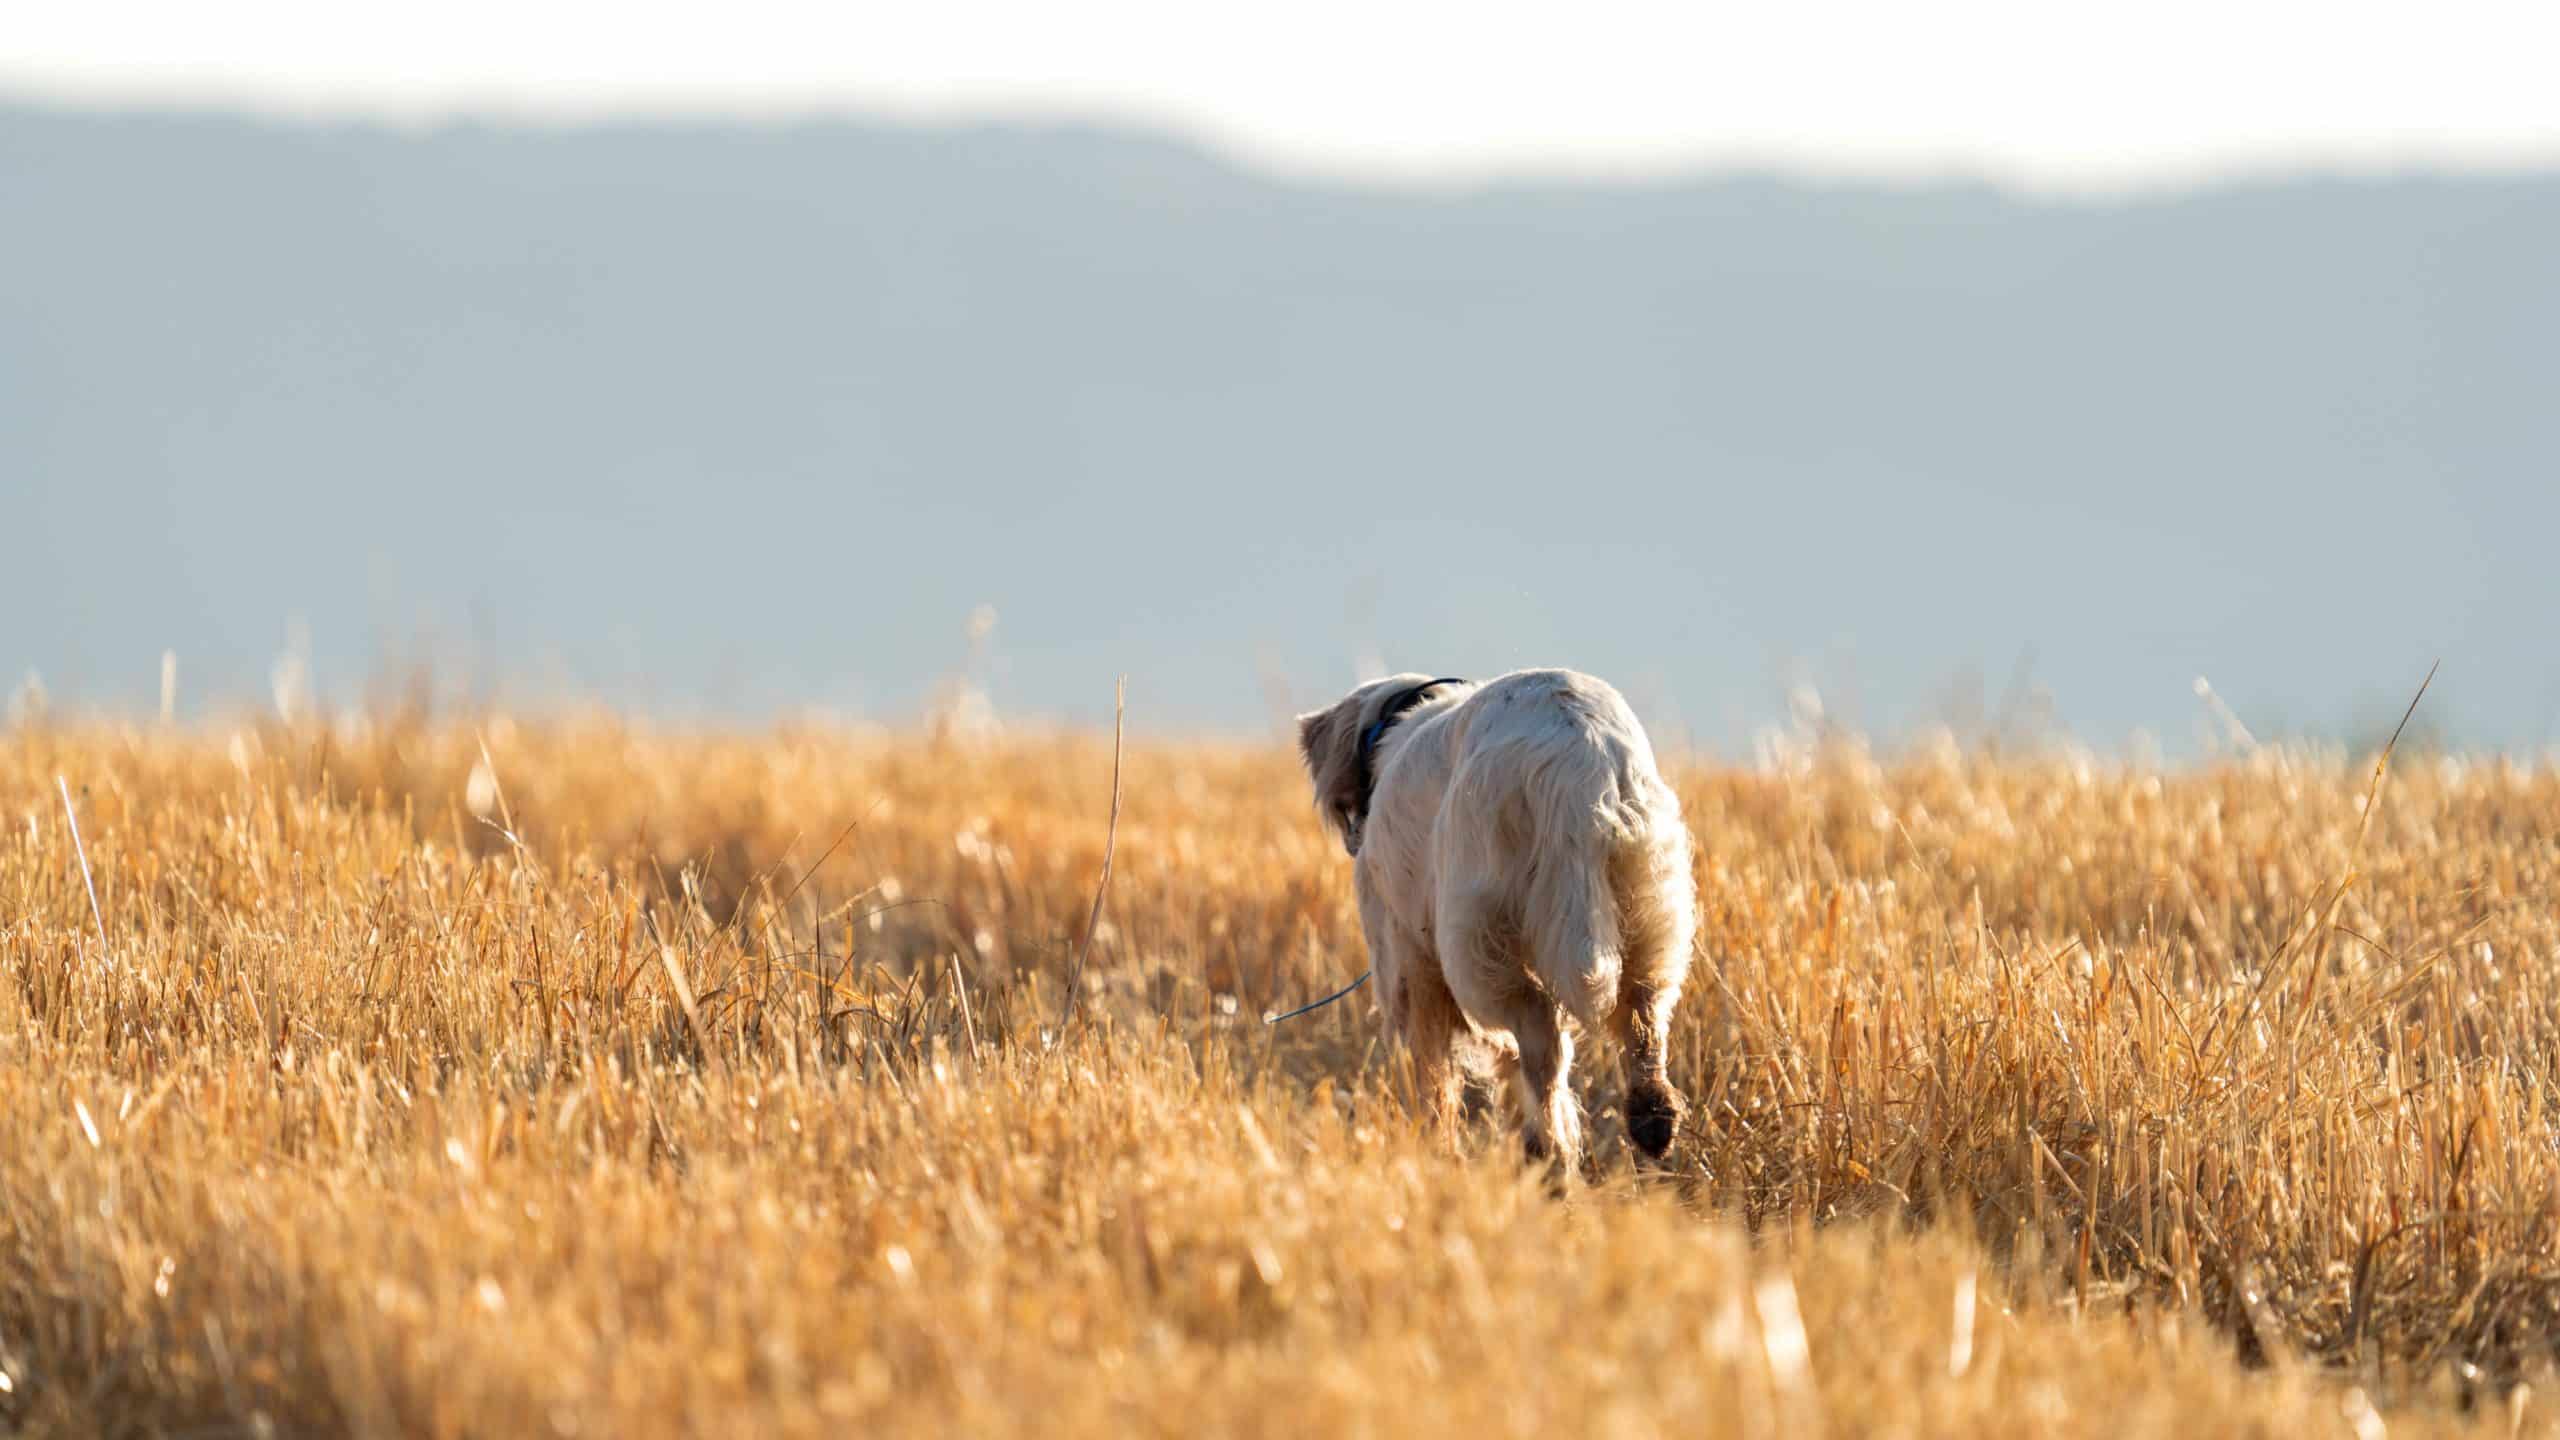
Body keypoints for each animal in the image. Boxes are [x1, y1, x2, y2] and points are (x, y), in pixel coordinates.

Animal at [1300, 666, 1699, 1158]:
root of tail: (1574, 761)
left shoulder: (1405, 966)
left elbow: (1431, 1072)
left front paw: (1434, 1141)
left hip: (1478, 937)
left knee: (1540, 1038)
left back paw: (1549, 1149)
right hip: (1650, 903)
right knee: (1641, 1015)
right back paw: (1650, 1119)